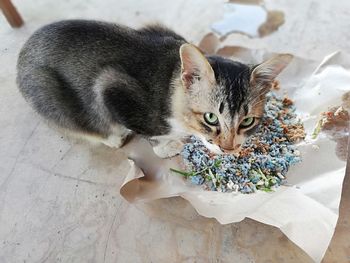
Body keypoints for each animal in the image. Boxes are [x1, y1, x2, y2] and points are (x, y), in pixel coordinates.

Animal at [16, 20, 292, 159]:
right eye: (211, 118)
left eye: (247, 121)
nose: (228, 148)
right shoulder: (110, 87)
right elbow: (148, 133)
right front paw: (167, 147)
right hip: (49, 94)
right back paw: (111, 136)